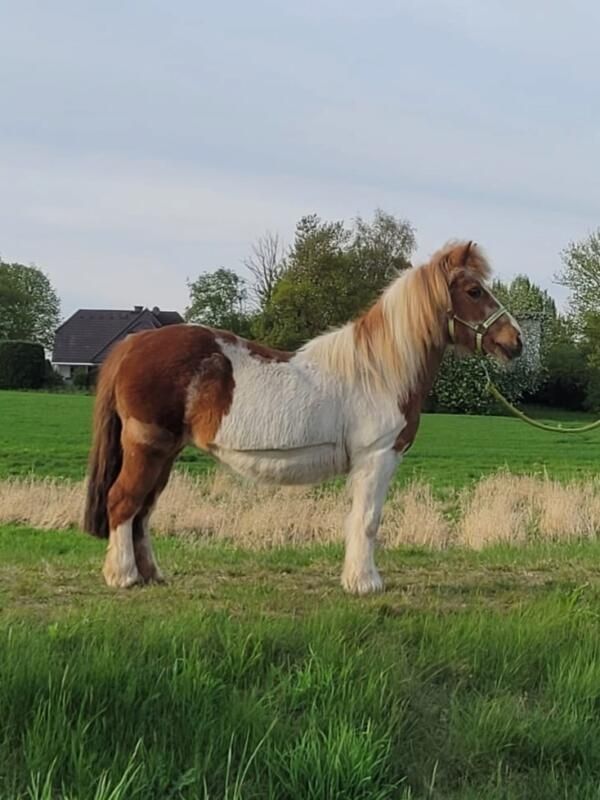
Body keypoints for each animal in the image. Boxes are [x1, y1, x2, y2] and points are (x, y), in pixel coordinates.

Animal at [84, 240, 522, 594]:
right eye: (474, 290)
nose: (515, 340)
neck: (379, 371)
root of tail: (134, 342)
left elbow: (357, 519)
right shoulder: (378, 457)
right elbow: (368, 520)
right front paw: (366, 583)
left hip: (166, 453)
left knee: (143, 511)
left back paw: (150, 575)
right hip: (147, 447)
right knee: (123, 502)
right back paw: (123, 576)